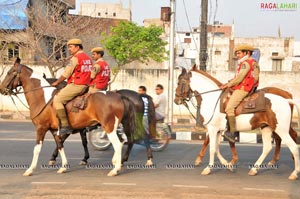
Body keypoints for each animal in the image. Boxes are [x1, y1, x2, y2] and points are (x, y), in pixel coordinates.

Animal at [0, 58, 136, 176]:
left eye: (9, 72)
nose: (1, 89)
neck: (43, 97)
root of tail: (119, 96)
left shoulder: (41, 128)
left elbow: (37, 149)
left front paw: (30, 169)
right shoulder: (55, 130)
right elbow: (60, 146)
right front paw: (63, 166)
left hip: (109, 127)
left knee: (118, 144)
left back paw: (115, 169)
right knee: (124, 141)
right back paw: (117, 162)